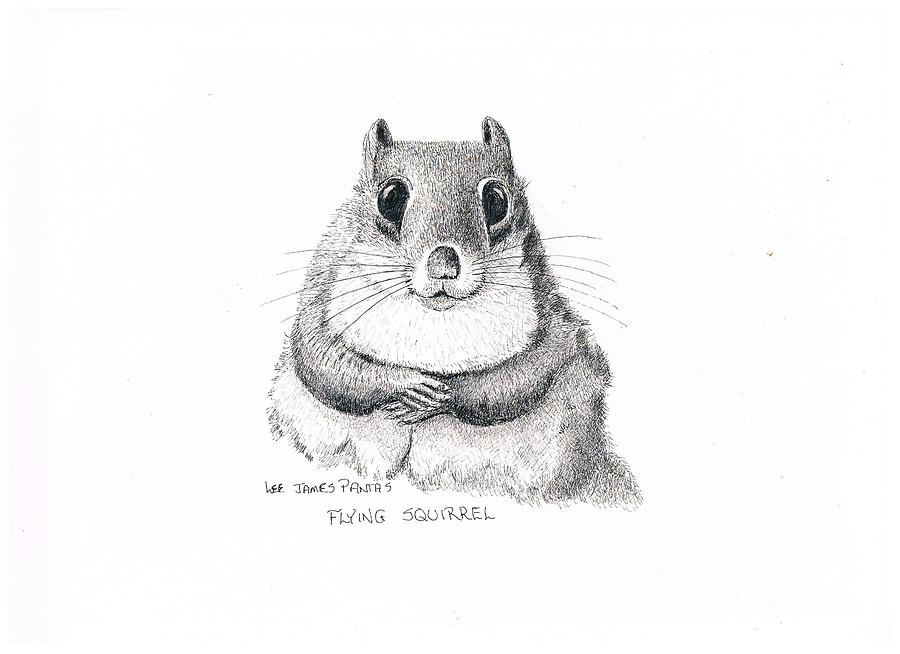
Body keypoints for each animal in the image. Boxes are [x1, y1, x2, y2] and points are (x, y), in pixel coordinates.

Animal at [268, 117, 641, 508]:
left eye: (496, 200)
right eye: (390, 198)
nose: (444, 267)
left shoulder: (553, 319)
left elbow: (526, 373)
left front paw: (444, 394)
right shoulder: (321, 292)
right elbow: (323, 363)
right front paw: (408, 383)